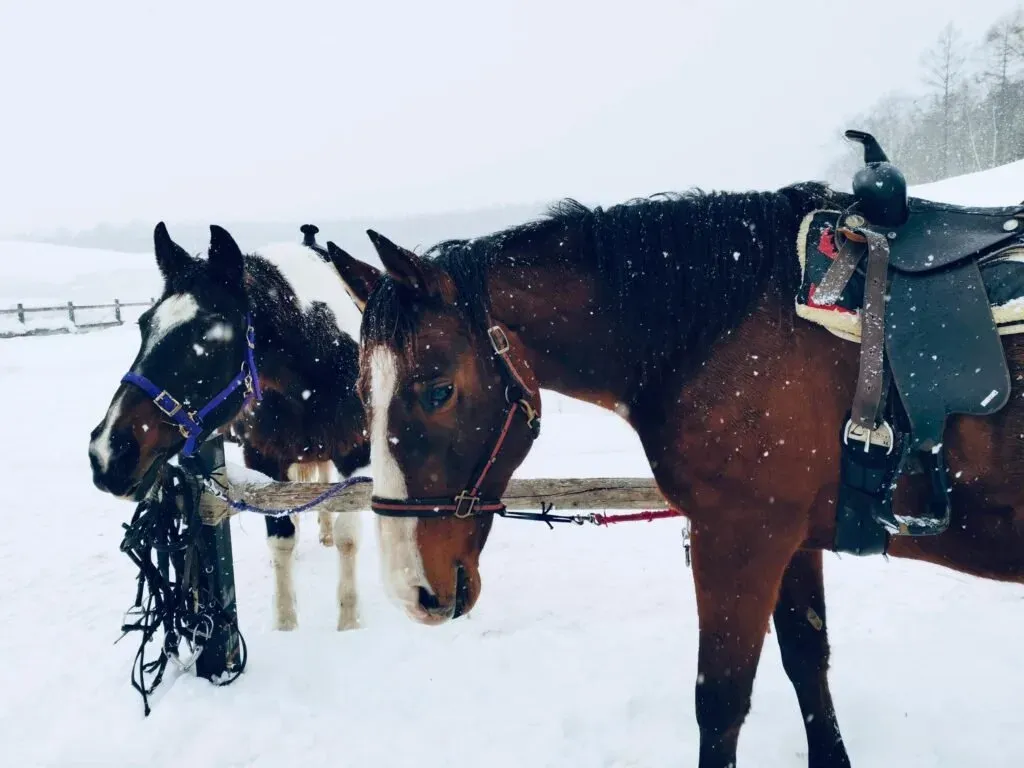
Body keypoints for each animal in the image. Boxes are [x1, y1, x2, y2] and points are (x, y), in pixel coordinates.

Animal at [88, 222, 370, 632]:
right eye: (144, 325)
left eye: (209, 337)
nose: (107, 453)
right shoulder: (267, 461)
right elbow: (281, 536)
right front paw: (286, 624)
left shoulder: (356, 454)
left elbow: (350, 535)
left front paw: (349, 622)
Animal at [326, 162, 1024, 766]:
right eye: (361, 395)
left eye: (437, 390)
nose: (411, 591)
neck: (721, 328)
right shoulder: (792, 541)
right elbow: (807, 661)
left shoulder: (740, 540)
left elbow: (719, 703)